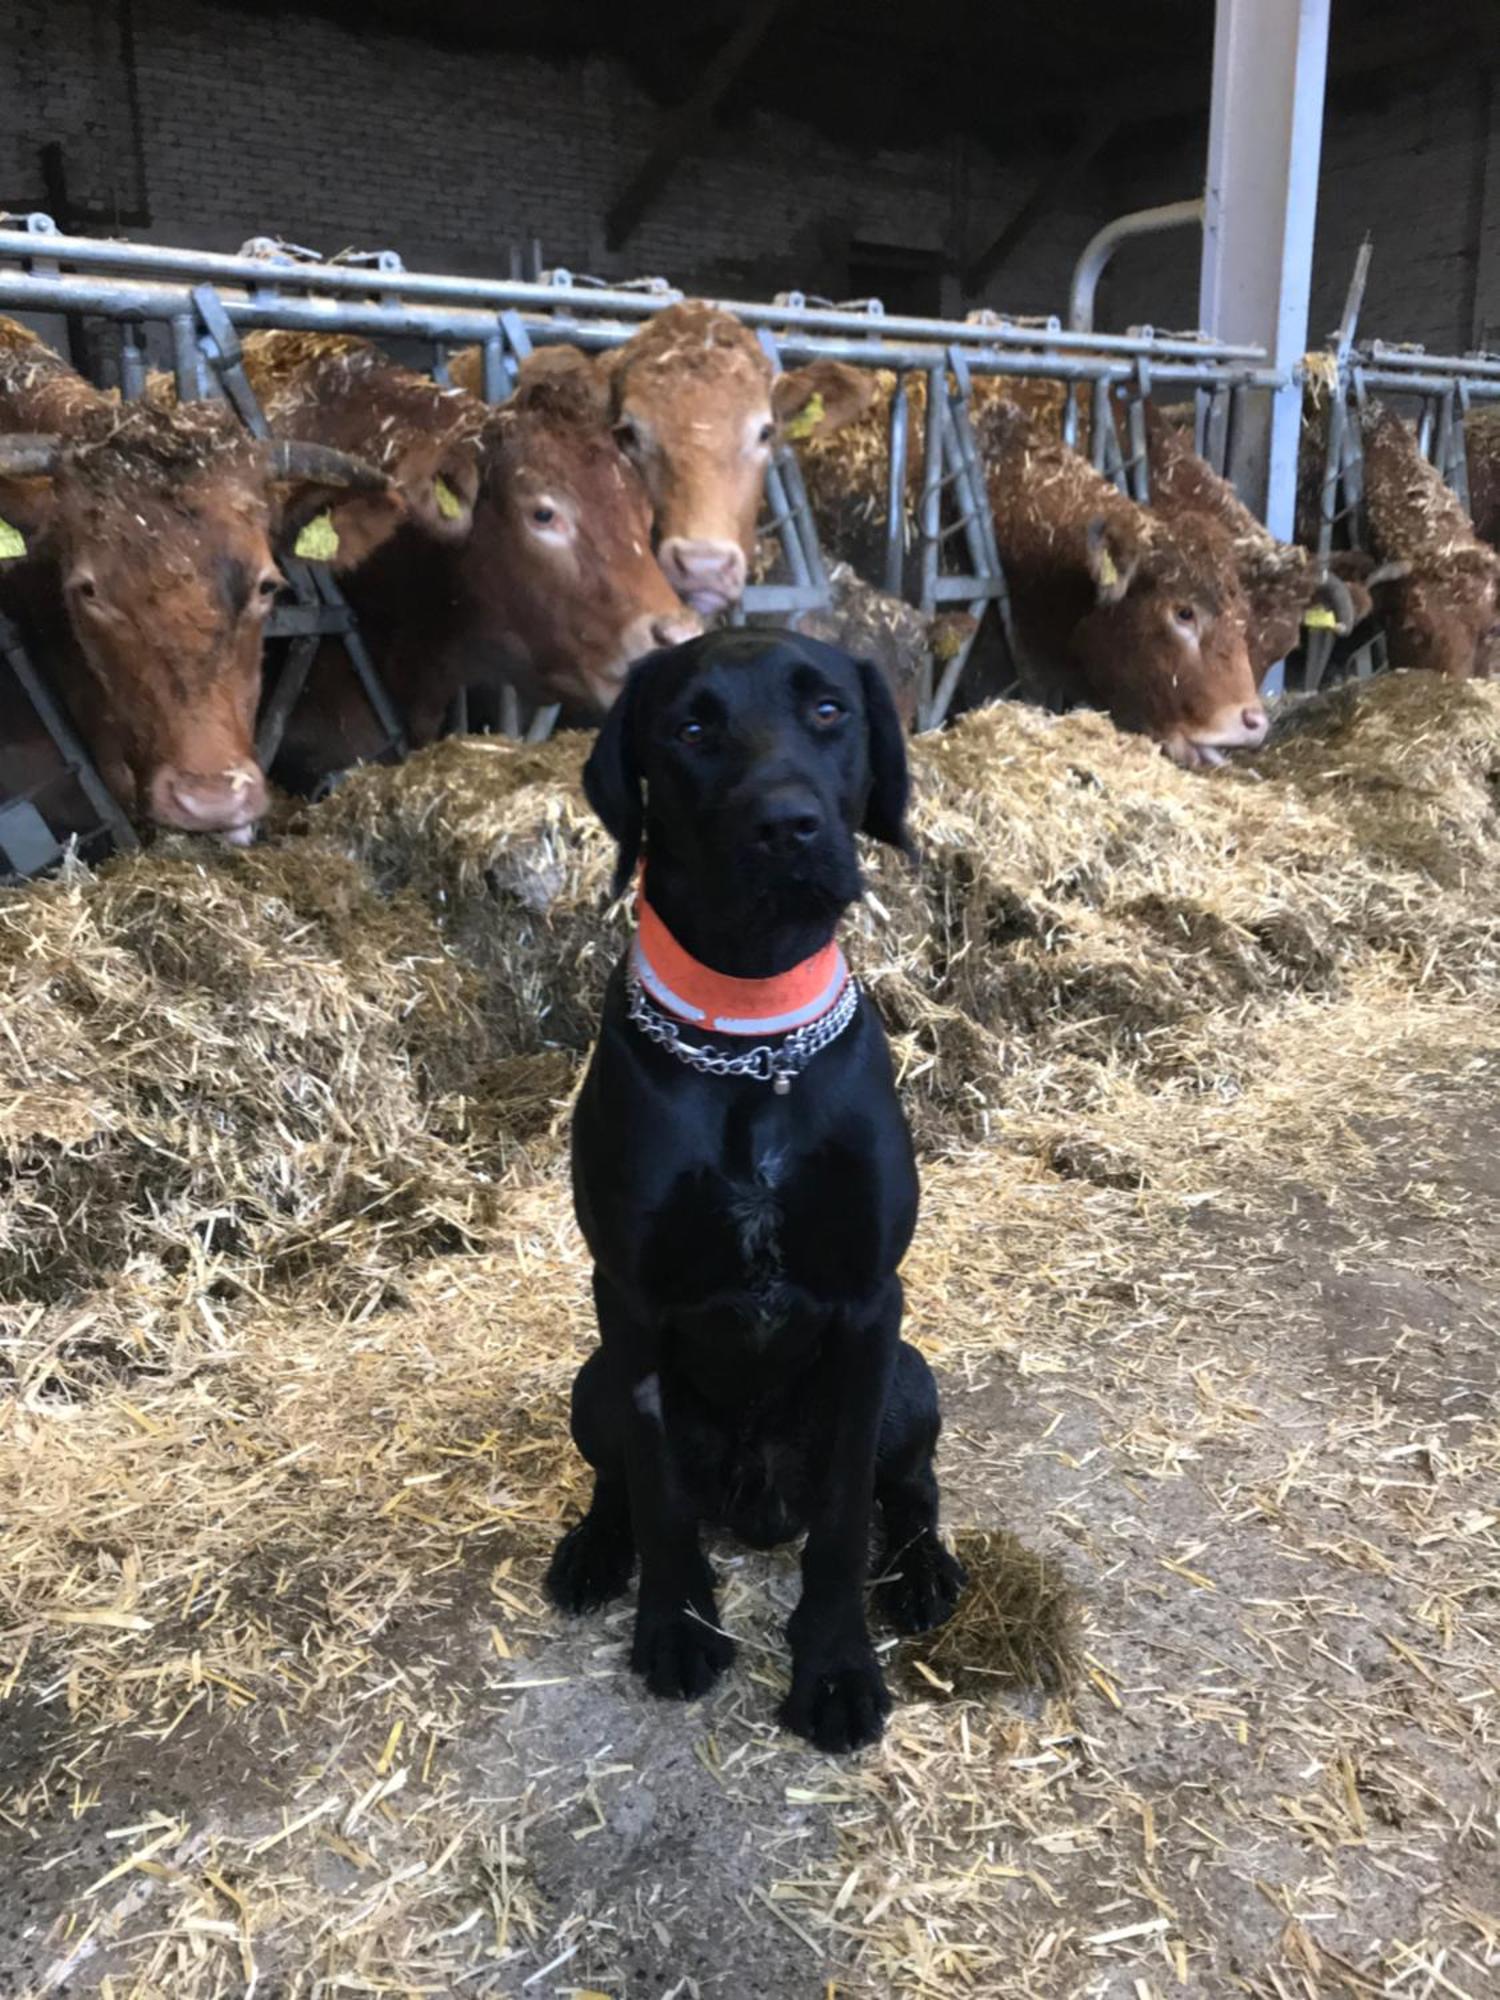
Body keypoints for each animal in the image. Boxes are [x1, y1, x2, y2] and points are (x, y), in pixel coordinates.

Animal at [548, 628, 964, 1752]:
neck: (752, 1039)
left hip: (911, 1380)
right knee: (617, 1478)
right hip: (590, 1382)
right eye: (692, 726)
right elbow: (657, 1494)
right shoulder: (630, 1307)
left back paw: (924, 1570)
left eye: (828, 711)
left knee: (910, 1489)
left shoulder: (870, 1306)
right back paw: (594, 1552)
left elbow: (845, 1526)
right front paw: (675, 1625)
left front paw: (835, 1667)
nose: (787, 826)